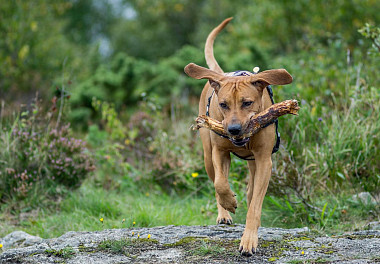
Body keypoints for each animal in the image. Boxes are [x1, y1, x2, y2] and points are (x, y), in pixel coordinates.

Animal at [184, 18, 294, 256]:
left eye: (247, 103)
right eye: (223, 104)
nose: (234, 129)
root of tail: (221, 74)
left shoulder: (264, 160)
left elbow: (255, 206)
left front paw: (249, 239)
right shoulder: (219, 152)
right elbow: (220, 184)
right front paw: (229, 203)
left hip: (253, 163)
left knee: (252, 190)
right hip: (207, 156)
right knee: (215, 178)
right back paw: (224, 213)